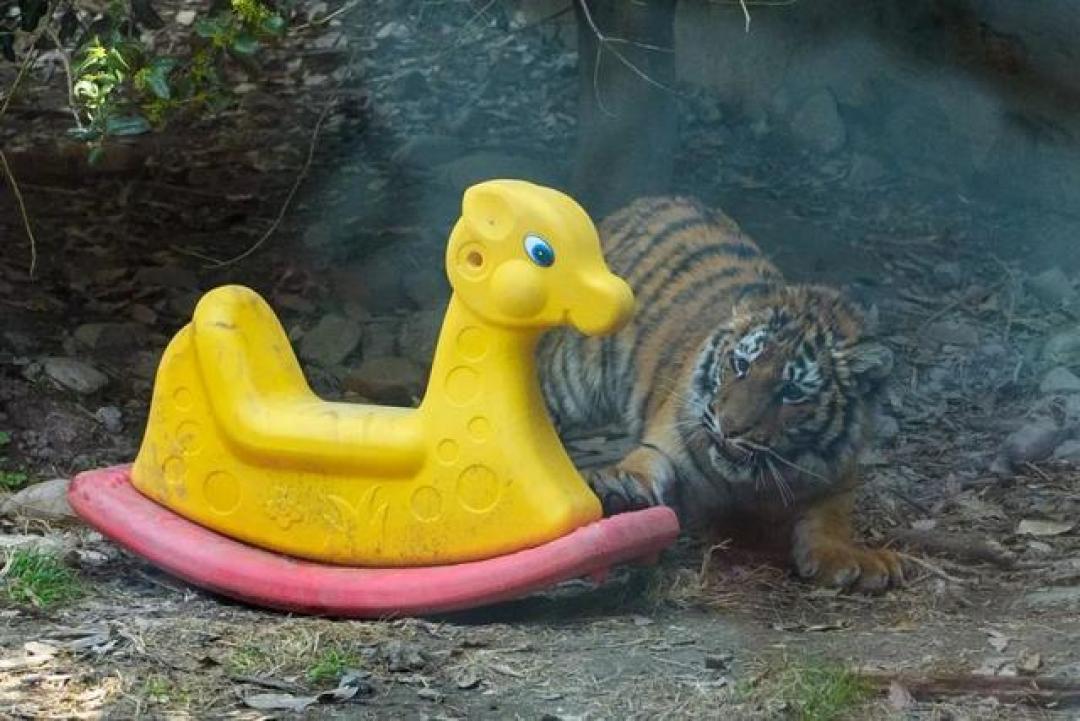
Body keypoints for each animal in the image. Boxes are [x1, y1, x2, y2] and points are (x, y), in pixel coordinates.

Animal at [538, 197, 903, 593]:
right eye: (741, 365)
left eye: (790, 391)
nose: (729, 429)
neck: (750, 483)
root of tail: (646, 202)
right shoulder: (670, 442)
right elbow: (644, 463)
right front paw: (622, 491)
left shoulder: (835, 479)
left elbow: (832, 520)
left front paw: (851, 560)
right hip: (572, 375)